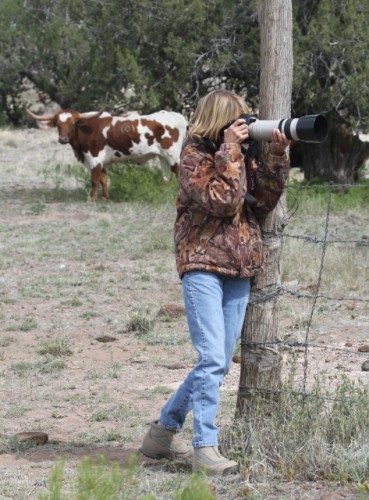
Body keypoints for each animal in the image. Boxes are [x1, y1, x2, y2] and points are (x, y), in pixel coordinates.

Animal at [26, 109, 187, 201]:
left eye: (73, 124)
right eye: (58, 125)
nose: (63, 139)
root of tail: (179, 116)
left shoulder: (94, 159)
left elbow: (94, 180)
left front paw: (92, 200)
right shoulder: (102, 162)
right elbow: (103, 179)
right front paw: (106, 198)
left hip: (174, 155)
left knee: (179, 174)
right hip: (163, 156)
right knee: (166, 177)